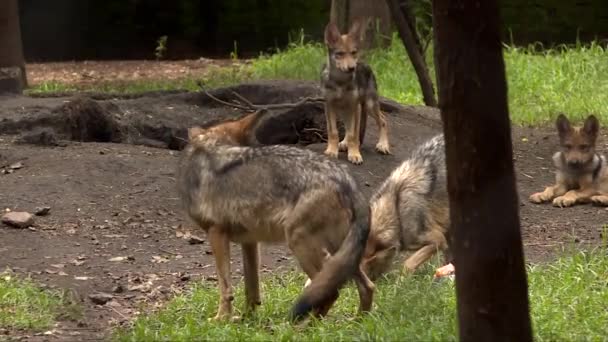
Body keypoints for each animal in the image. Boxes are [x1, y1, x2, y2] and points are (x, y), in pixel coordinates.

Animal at [176, 110, 376, 324]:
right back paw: (357, 322)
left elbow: (225, 287)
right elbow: (251, 288)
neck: (208, 150)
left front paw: (221, 318)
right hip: (342, 254)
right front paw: (247, 319)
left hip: (300, 243)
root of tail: (347, 180)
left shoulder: (216, 234)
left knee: (330, 292)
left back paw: (303, 326)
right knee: (366, 286)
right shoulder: (250, 242)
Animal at [320, 19, 392, 164]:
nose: (352, 68)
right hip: (344, 110)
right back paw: (344, 143)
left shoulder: (354, 105)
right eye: (340, 54)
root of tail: (365, 64)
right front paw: (331, 151)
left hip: (368, 105)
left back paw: (383, 145)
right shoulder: (329, 105)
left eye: (353, 53)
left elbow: (354, 134)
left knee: (382, 120)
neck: (340, 82)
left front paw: (354, 154)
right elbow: (333, 132)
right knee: (348, 129)